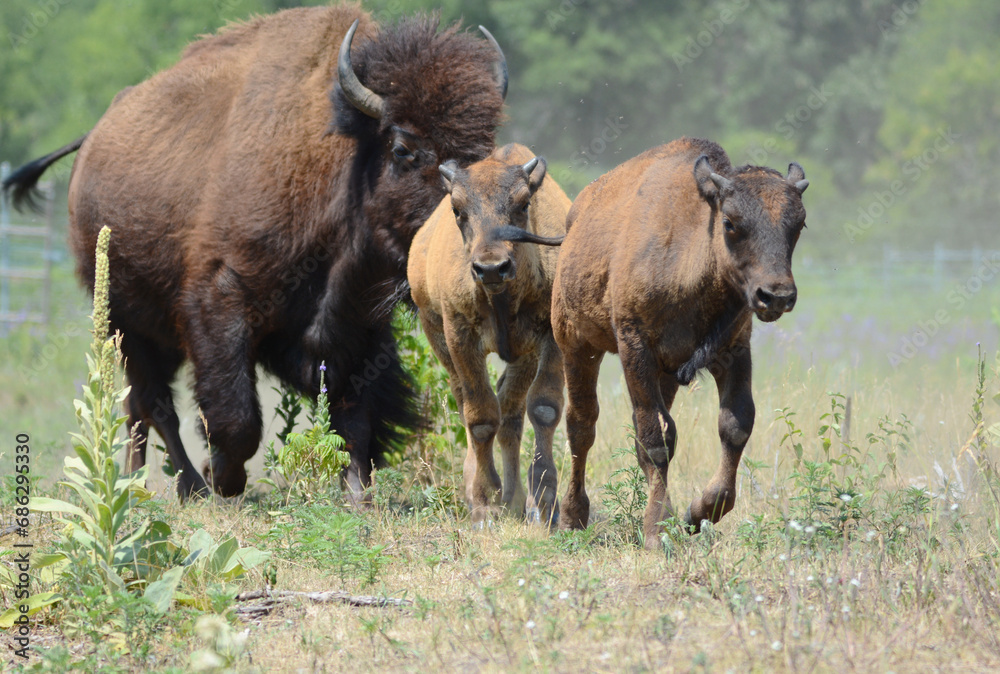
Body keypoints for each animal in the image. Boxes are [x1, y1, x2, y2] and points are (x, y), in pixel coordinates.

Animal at [1, 5, 508, 498]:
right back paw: (181, 484)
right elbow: (238, 417)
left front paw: (357, 492)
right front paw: (222, 477)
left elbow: (356, 417)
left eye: (485, 150)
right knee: (153, 405)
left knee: (138, 408)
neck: (338, 167)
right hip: (123, 321)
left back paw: (138, 480)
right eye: (403, 148)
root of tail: (92, 140)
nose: (466, 254)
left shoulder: (358, 329)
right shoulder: (220, 302)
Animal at [408, 143, 572, 524]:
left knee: (510, 411)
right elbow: (480, 416)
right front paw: (483, 504)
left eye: (524, 204)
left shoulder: (549, 340)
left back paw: (514, 498)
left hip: (523, 355)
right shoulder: (459, 336)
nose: (492, 268)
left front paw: (543, 504)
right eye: (457, 209)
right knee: (471, 402)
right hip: (436, 333)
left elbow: (543, 407)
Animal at [552, 135, 808, 544]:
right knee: (581, 425)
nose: (776, 296)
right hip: (575, 344)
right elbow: (656, 438)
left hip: (666, 373)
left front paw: (696, 514)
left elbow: (735, 424)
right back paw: (572, 518)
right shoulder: (635, 349)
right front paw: (657, 529)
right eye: (730, 222)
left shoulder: (732, 350)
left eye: (799, 223)